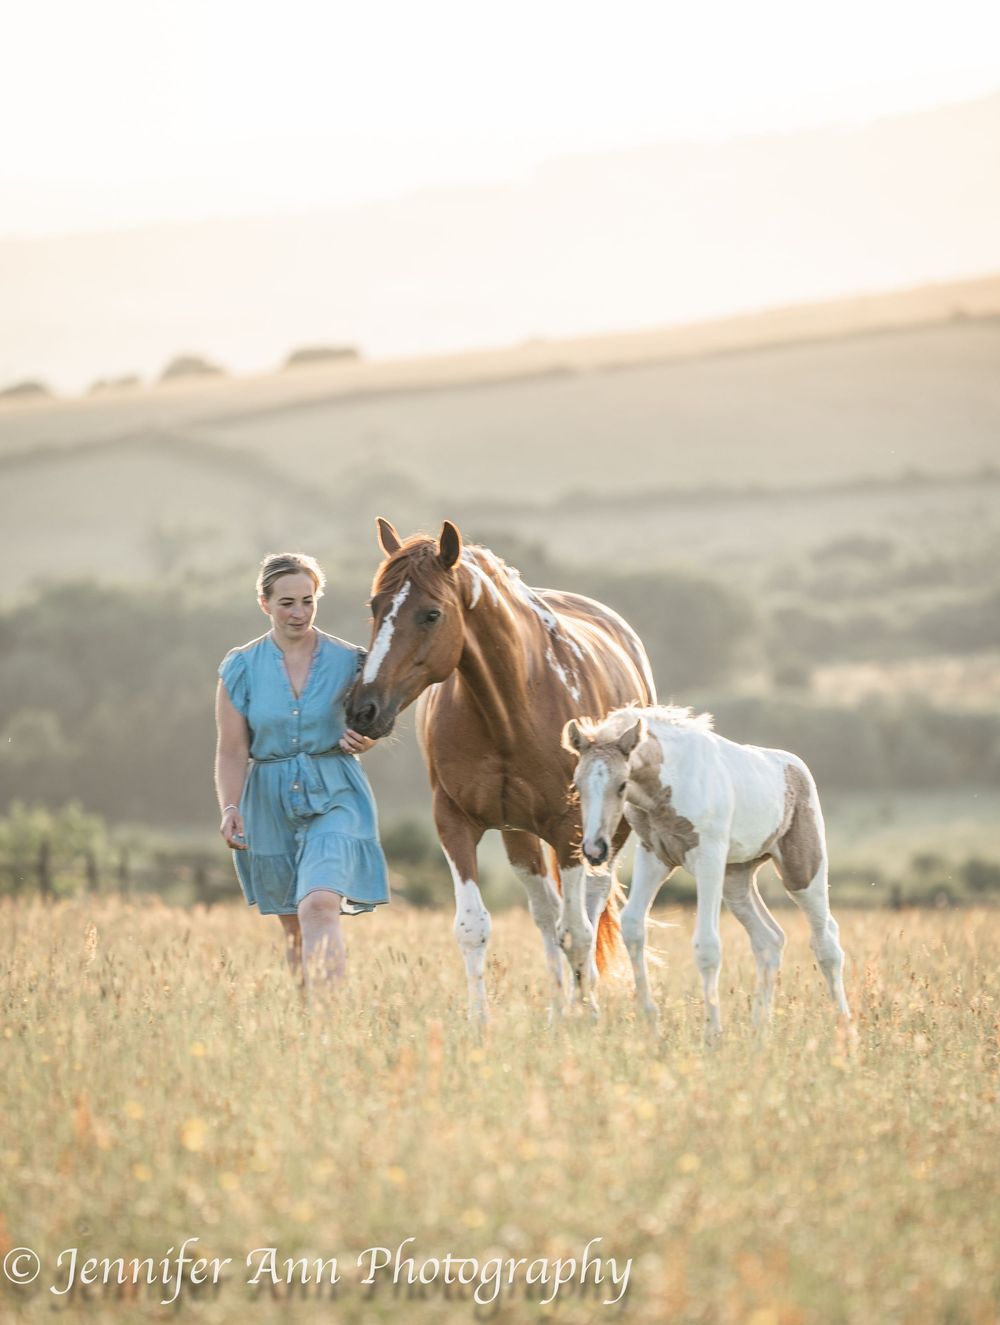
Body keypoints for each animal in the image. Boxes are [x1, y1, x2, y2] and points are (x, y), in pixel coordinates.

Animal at [346, 519, 657, 1018]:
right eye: (375, 606)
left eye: (431, 614)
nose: (362, 710)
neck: (512, 707)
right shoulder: (454, 822)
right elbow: (473, 927)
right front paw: (479, 1023)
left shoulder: (571, 827)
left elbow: (579, 931)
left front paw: (586, 1016)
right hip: (520, 836)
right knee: (547, 913)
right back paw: (557, 1012)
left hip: (604, 836)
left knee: (588, 909)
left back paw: (583, 1003)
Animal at [562, 705, 850, 1037]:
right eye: (577, 786)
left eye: (622, 784)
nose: (594, 850)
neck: (670, 782)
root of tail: (797, 766)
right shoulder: (654, 856)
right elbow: (633, 926)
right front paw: (651, 1020)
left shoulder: (708, 858)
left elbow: (707, 945)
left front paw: (713, 1033)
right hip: (736, 880)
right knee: (770, 939)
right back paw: (759, 1030)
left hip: (801, 871)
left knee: (827, 942)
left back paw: (846, 1028)